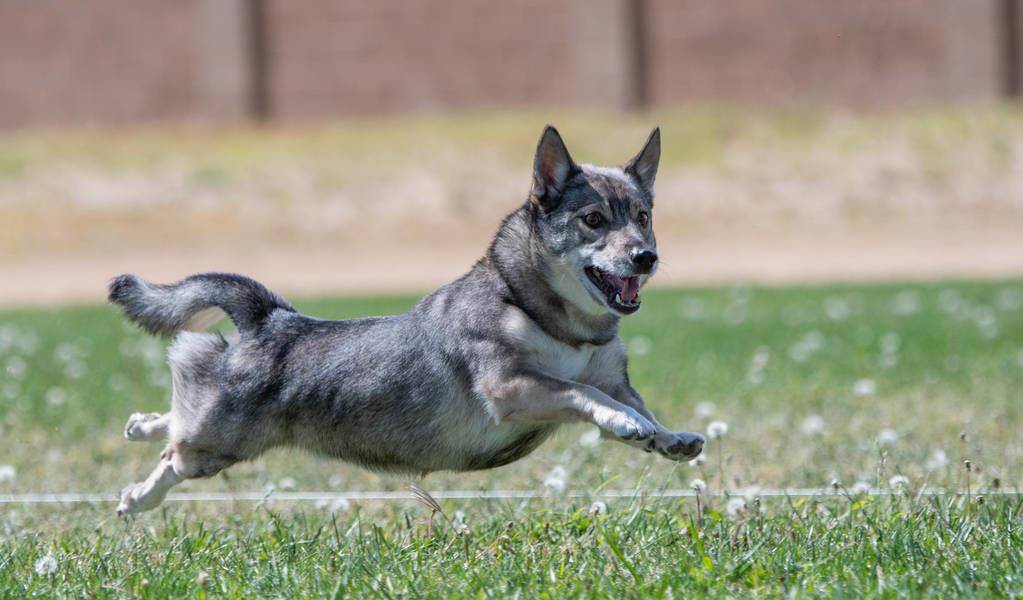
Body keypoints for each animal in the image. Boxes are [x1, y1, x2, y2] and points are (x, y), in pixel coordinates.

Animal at [109, 126, 703, 517]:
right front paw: (625, 424)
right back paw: (136, 498)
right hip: (217, 443)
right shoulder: (512, 386)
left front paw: (666, 437)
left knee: (175, 419)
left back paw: (140, 424)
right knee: (174, 453)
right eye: (593, 220)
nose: (646, 256)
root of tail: (271, 318)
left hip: (216, 432)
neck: (549, 317)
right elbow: (585, 395)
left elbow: (636, 405)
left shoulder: (612, 379)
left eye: (644, 218)